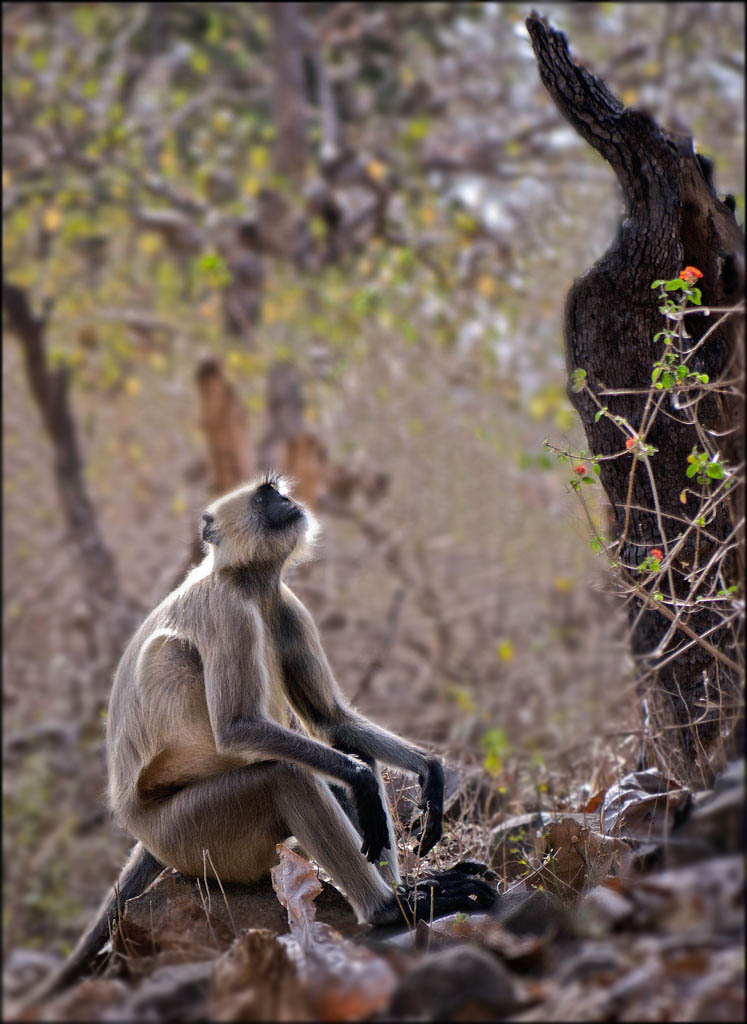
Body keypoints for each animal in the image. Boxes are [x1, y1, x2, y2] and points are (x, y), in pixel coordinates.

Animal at [36, 473, 495, 999]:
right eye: (265, 497)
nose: (288, 501)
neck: (249, 581)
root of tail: (140, 829)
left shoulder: (286, 606)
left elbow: (333, 721)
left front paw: (431, 773)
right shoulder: (227, 610)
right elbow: (240, 727)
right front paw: (363, 783)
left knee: (336, 763)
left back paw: (407, 892)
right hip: (191, 836)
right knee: (285, 776)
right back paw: (387, 909)